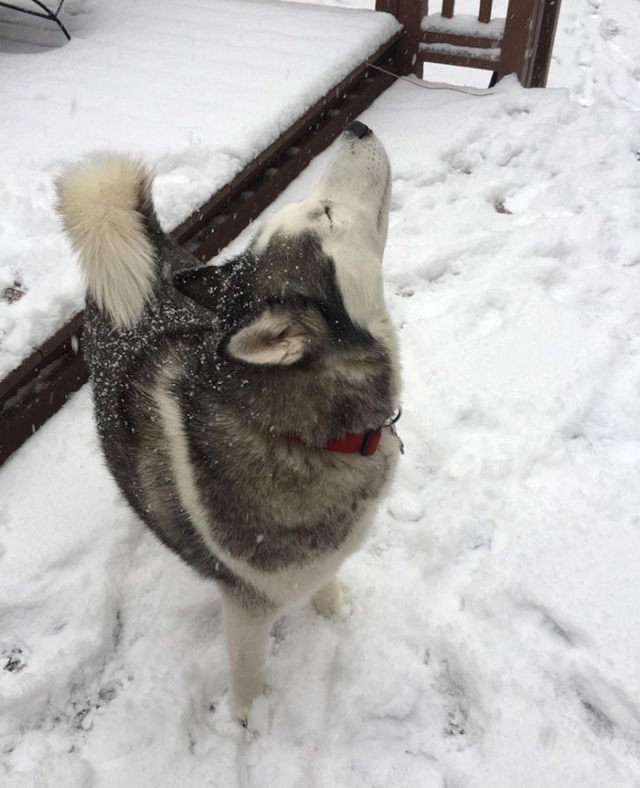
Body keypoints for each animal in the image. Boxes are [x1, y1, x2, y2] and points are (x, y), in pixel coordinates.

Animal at [57, 121, 402, 720]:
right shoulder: (247, 607)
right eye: (327, 213)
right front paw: (248, 722)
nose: (355, 126)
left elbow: (326, 578)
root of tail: (149, 252)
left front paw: (331, 607)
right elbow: (248, 673)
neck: (301, 434)